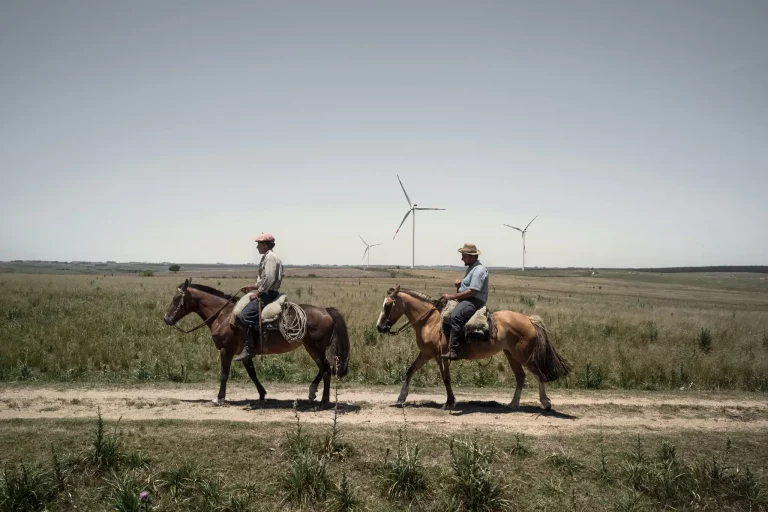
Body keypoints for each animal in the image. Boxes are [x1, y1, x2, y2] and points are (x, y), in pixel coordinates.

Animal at [165, 278, 352, 406]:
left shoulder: (226, 350)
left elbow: (224, 374)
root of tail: (326, 311)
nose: (166, 319)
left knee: (326, 370)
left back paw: (323, 400)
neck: (223, 315)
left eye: (176, 298)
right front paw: (262, 395)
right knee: (324, 369)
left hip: (315, 348)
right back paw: (313, 393)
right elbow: (252, 374)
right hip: (310, 347)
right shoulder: (244, 353)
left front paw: (220, 398)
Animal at [376, 286, 568, 410]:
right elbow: (410, 371)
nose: (379, 327)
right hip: (511, 355)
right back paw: (513, 404)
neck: (430, 321)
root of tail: (528, 319)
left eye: (388, 305)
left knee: (539, 374)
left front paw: (450, 402)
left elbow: (446, 378)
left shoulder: (440, 356)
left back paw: (546, 403)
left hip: (524, 355)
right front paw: (401, 398)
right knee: (521, 377)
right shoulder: (426, 354)